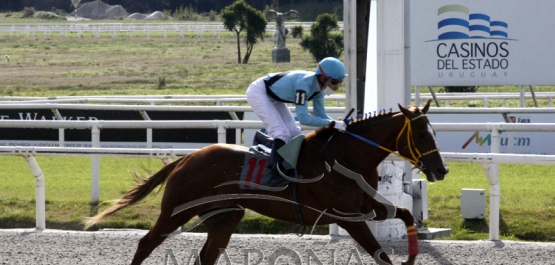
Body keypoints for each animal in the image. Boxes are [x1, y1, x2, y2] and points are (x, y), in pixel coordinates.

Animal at [83, 99, 448, 264]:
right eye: (420, 133)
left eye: (433, 131)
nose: (441, 170)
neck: (346, 156)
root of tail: (188, 158)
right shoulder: (346, 216)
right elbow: (380, 255)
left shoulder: (366, 206)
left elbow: (405, 213)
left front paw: (413, 255)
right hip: (177, 210)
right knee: (146, 244)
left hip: (226, 216)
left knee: (207, 255)